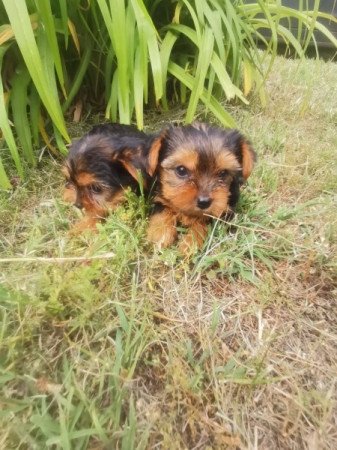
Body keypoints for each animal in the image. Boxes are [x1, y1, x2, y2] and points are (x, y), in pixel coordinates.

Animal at [146, 122, 256, 253]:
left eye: (223, 173)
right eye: (181, 170)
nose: (204, 202)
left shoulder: (225, 210)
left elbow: (204, 221)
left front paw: (190, 243)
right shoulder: (161, 197)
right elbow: (162, 210)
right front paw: (160, 233)